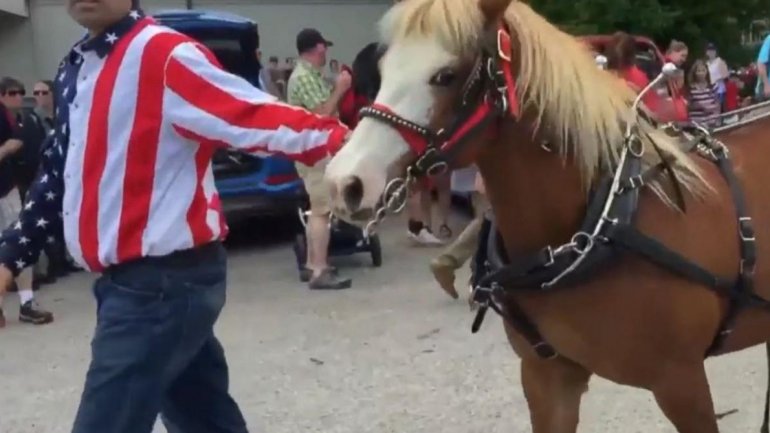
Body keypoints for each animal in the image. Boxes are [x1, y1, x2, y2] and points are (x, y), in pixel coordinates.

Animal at [324, 0, 770, 428]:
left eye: (445, 76)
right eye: (381, 70)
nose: (344, 181)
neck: (603, 221)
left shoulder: (680, 382)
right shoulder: (547, 378)